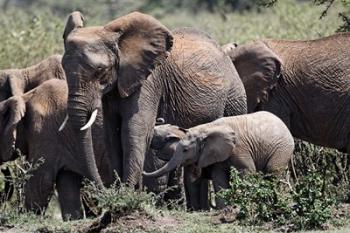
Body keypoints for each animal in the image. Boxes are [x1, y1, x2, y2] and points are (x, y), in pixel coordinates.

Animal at [60, 11, 246, 210]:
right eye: (63, 68)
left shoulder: (149, 81)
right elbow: (112, 134)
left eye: (100, 69)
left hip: (234, 95)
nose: (105, 191)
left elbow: (134, 130)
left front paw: (128, 195)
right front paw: (121, 193)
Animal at [144, 111, 294, 208]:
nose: (160, 119)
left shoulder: (239, 148)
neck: (204, 129)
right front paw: (223, 209)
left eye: (185, 150)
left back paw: (276, 204)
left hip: (282, 148)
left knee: (273, 172)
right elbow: (218, 177)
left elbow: (247, 171)